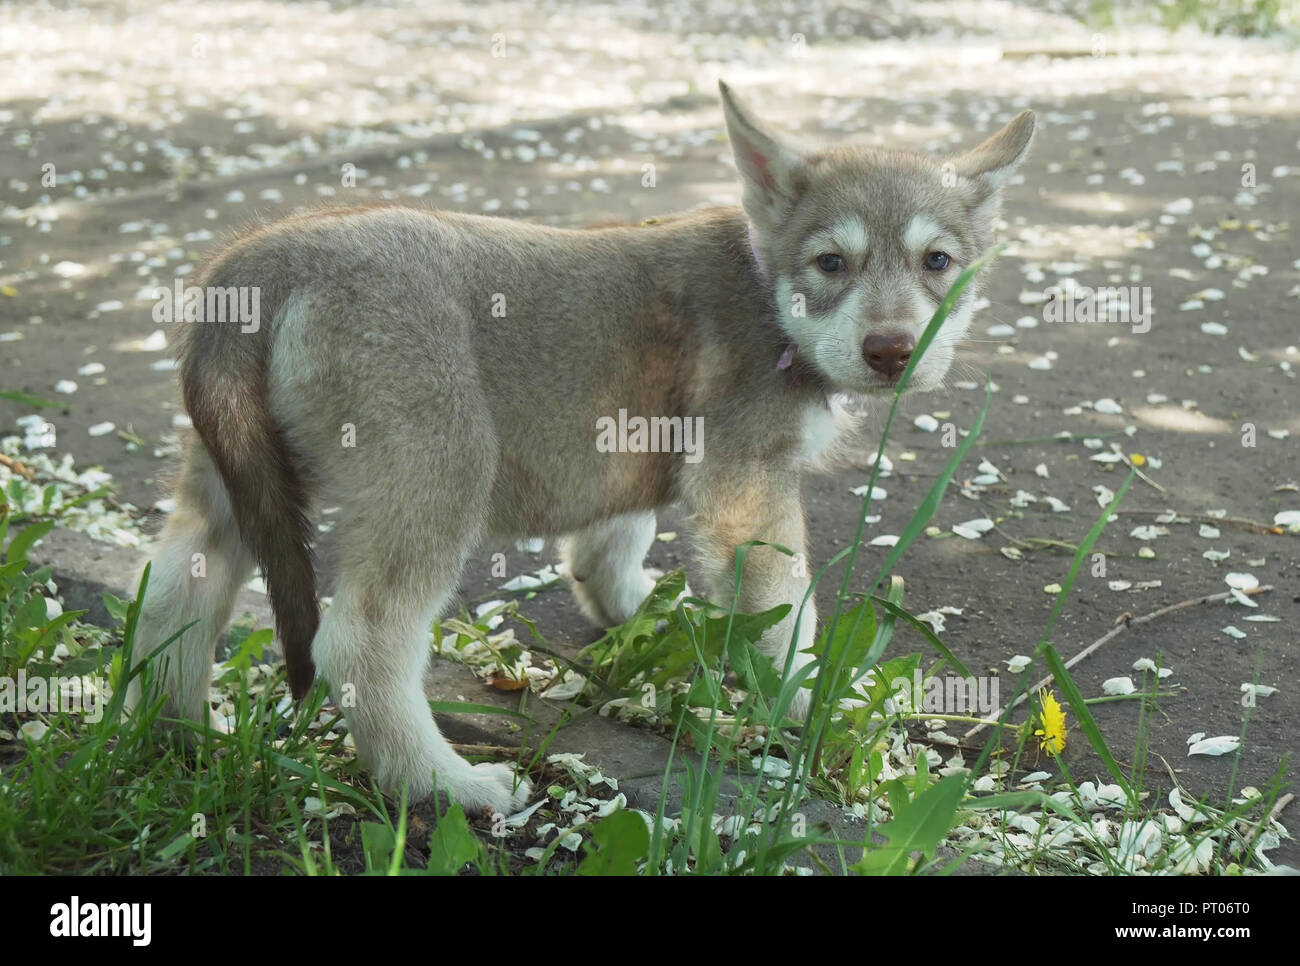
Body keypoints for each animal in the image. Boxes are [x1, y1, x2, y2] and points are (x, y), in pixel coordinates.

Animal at [126, 83, 1029, 816]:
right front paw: (806, 708)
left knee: (170, 599)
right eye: (831, 263)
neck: (765, 289)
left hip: (229, 488)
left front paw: (660, 618)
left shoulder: (632, 451)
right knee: (358, 646)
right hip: (437, 475)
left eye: (937, 262)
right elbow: (787, 621)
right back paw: (444, 785)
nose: (891, 351)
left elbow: (611, 553)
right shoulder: (744, 486)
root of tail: (262, 261)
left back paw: (177, 741)